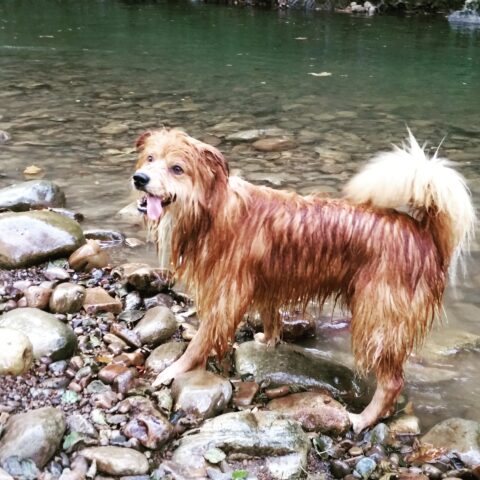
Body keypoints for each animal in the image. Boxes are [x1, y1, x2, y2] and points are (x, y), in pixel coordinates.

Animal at [132, 126, 476, 432]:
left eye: (177, 168)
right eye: (150, 158)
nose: (140, 179)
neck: (211, 210)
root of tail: (426, 235)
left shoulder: (227, 294)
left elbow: (199, 341)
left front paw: (173, 371)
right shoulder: (264, 281)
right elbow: (270, 314)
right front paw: (268, 340)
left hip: (378, 318)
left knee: (392, 381)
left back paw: (364, 419)